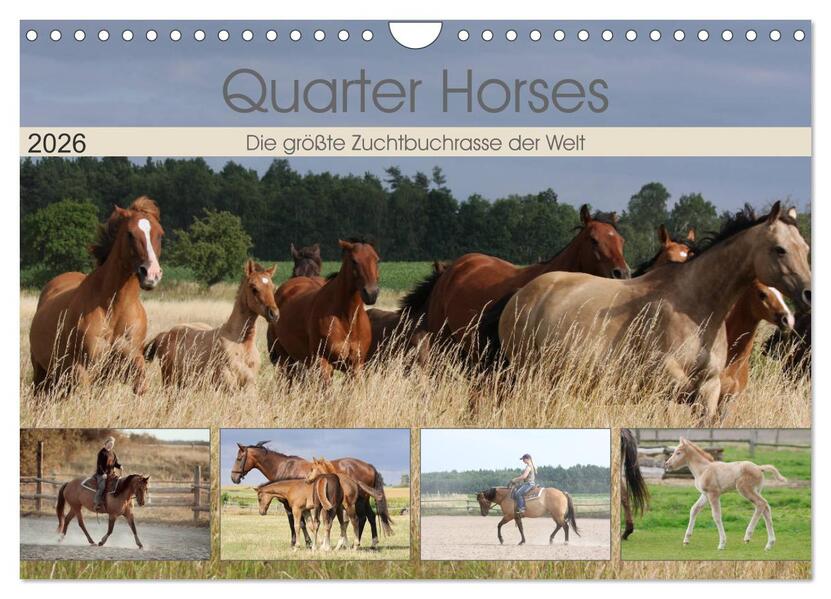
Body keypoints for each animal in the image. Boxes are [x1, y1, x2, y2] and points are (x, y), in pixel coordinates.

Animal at [29, 197, 164, 396]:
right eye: (130, 234)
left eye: (160, 234)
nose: (151, 274)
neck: (113, 309)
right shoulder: (82, 369)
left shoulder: (129, 360)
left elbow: (141, 385)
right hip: (42, 373)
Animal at [144, 260, 277, 389]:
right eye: (253, 287)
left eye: (273, 288)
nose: (274, 314)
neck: (242, 344)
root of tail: (165, 334)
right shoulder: (226, 384)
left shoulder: (250, 385)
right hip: (169, 381)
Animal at [229, 441, 392, 548]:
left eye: (239, 458)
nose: (234, 478)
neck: (284, 467)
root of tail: (369, 466)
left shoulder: (290, 506)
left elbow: (297, 523)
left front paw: (300, 543)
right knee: (370, 516)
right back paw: (368, 543)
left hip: (360, 501)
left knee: (362, 518)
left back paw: (359, 543)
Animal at [268, 239, 379, 380]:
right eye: (354, 260)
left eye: (377, 260)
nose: (371, 293)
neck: (346, 319)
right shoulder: (323, 364)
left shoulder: (356, 367)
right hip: (285, 360)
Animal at [494, 202, 811, 422]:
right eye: (780, 249)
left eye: (805, 248)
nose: (808, 293)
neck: (696, 307)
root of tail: (521, 294)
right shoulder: (664, 381)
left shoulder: (710, 390)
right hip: (527, 374)